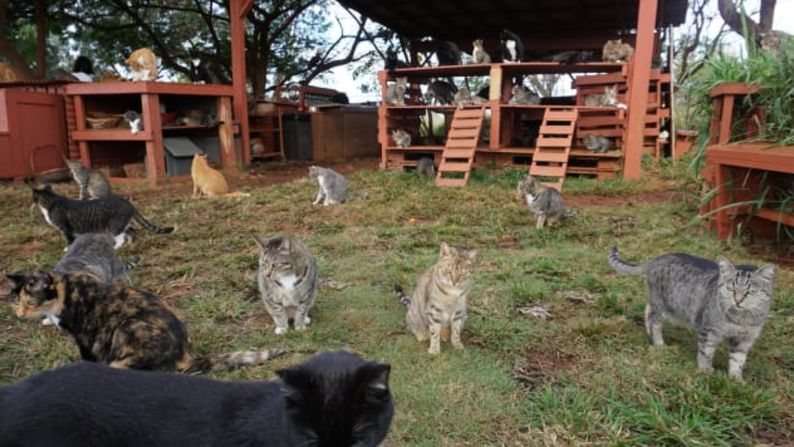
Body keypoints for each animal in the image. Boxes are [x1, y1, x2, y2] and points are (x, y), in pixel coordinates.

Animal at [4, 272, 284, 372]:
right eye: (18, 302)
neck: (63, 288)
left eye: (31, 302)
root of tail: (184, 354)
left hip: (127, 327)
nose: (20, 315)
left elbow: (87, 356)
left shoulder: (85, 335)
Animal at [32, 186, 173, 248]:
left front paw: (68, 248)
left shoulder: (65, 227)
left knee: (121, 236)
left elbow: (69, 239)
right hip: (122, 222)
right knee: (131, 231)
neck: (52, 200)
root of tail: (128, 202)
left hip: (114, 225)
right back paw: (130, 244)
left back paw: (117, 247)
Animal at [608, 248, 772, 382]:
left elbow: (737, 361)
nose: (738, 300)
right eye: (730, 288)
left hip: (667, 306)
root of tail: (657, 259)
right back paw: (659, 343)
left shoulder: (745, 339)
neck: (741, 319)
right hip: (663, 306)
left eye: (751, 292)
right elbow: (706, 352)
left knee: (648, 310)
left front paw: (736, 380)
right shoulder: (709, 330)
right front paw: (706, 370)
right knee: (655, 322)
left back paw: (649, 333)